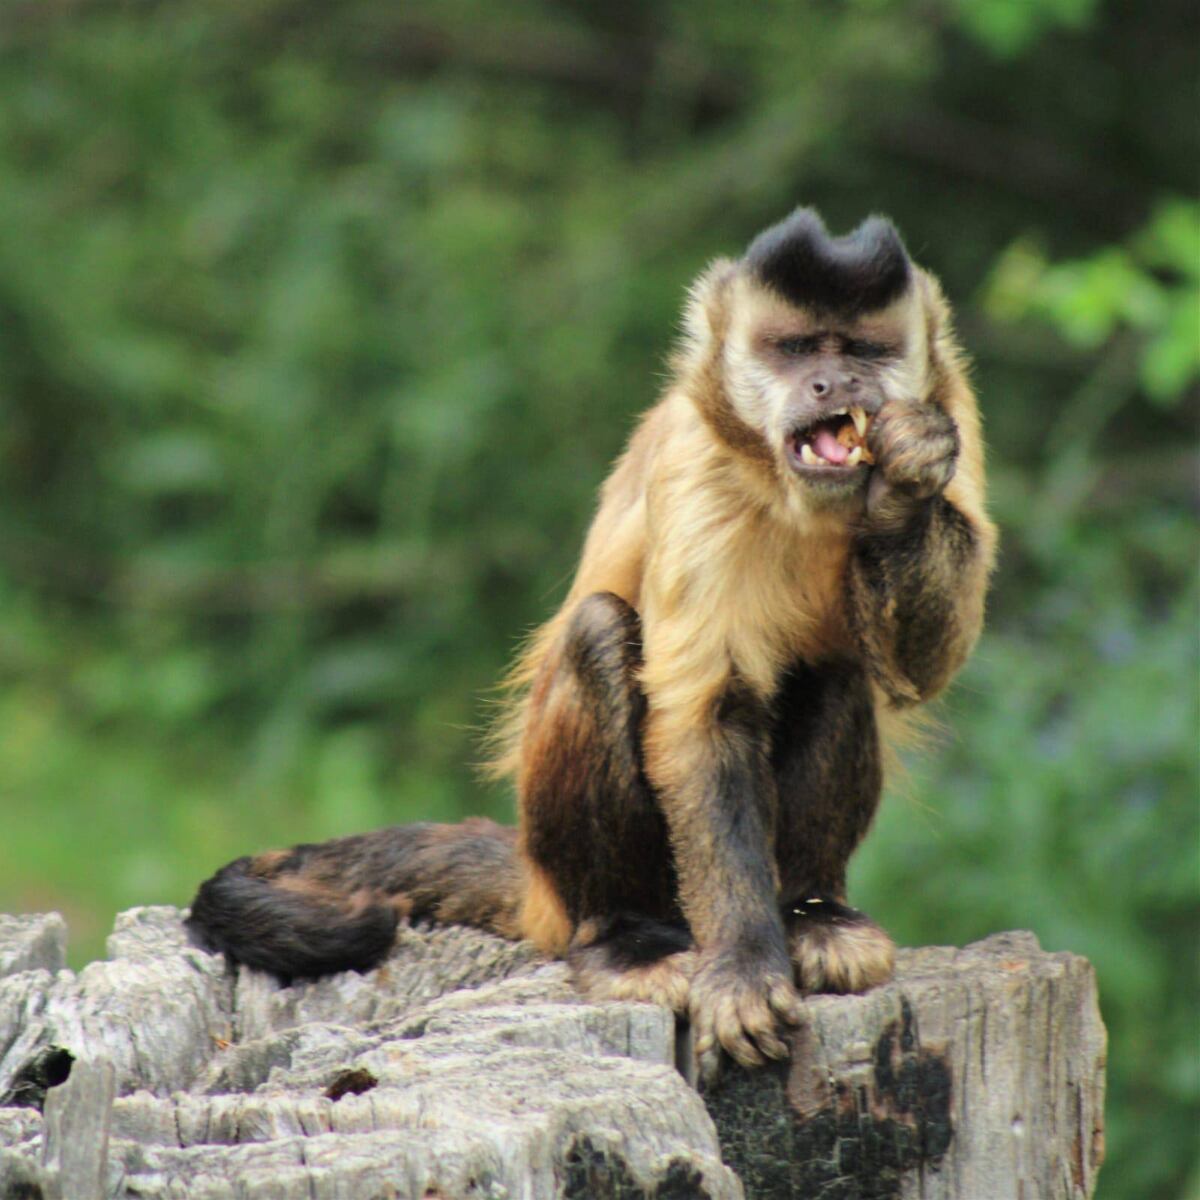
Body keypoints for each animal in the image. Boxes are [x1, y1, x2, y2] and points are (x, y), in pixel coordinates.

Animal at [187, 207, 996, 1079]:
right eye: (795, 347)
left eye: (863, 351)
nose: (835, 385)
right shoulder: (696, 461)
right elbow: (702, 718)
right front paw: (744, 970)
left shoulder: (961, 417)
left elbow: (919, 669)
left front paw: (905, 481)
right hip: (579, 866)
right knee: (600, 638)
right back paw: (625, 936)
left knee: (835, 668)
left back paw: (810, 912)